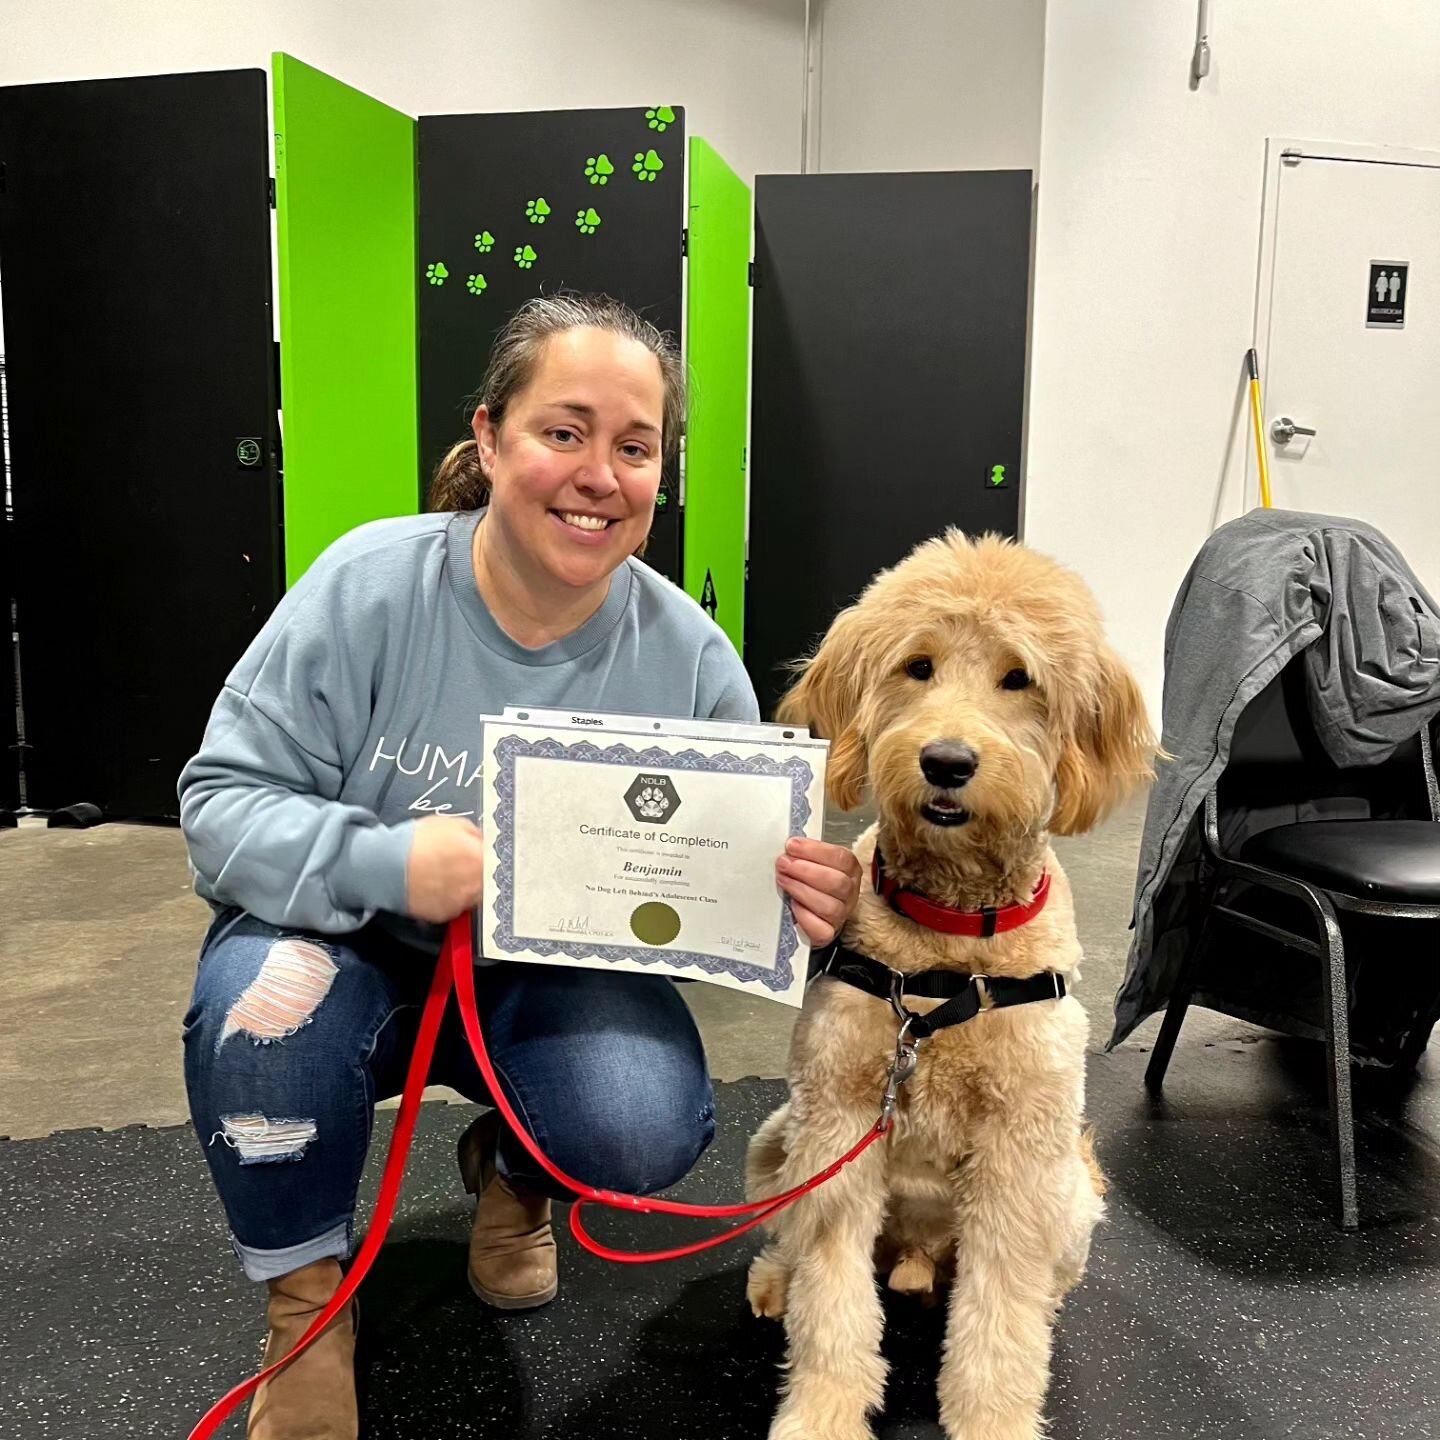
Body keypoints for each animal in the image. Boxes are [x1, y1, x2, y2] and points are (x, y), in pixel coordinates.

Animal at [748, 532, 1152, 1440]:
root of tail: (918, 1258)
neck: (949, 941)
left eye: (1019, 678)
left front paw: (994, 1419)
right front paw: (821, 1411)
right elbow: (831, 1294)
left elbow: (999, 1319)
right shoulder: (837, 1122)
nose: (946, 761)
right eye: (918, 666)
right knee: (798, 1242)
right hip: (776, 1138)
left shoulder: (1018, 1156)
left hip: (1069, 1195)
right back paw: (776, 1278)